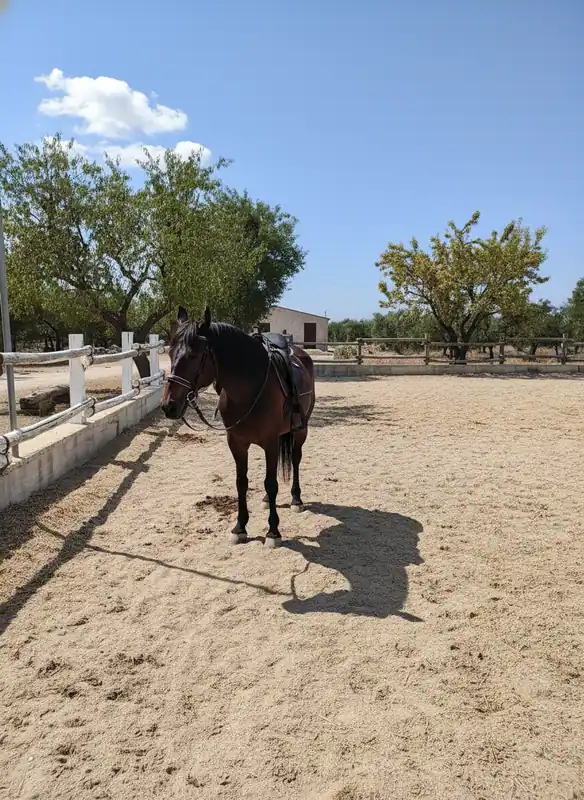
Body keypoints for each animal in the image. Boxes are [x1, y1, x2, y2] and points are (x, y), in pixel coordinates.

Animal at [161, 306, 316, 548]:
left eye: (193, 355)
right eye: (170, 353)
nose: (169, 406)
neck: (249, 388)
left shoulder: (270, 443)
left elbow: (271, 483)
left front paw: (273, 532)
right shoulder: (236, 443)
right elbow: (241, 482)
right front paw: (240, 528)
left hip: (301, 430)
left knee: (296, 458)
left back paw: (296, 499)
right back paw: (266, 500)